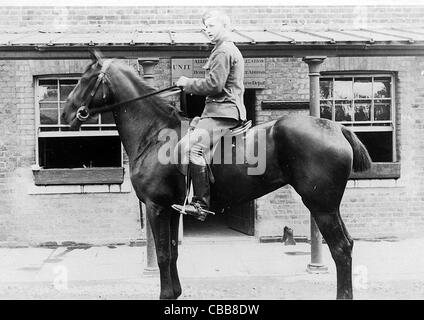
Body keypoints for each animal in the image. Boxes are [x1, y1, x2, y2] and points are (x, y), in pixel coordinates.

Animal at [62, 52, 372, 300]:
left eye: (86, 79)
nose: (66, 114)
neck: (155, 134)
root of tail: (335, 127)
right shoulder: (171, 210)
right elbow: (172, 252)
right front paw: (175, 292)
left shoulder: (156, 207)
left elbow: (161, 254)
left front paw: (165, 295)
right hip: (329, 207)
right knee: (347, 245)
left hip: (321, 206)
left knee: (340, 249)